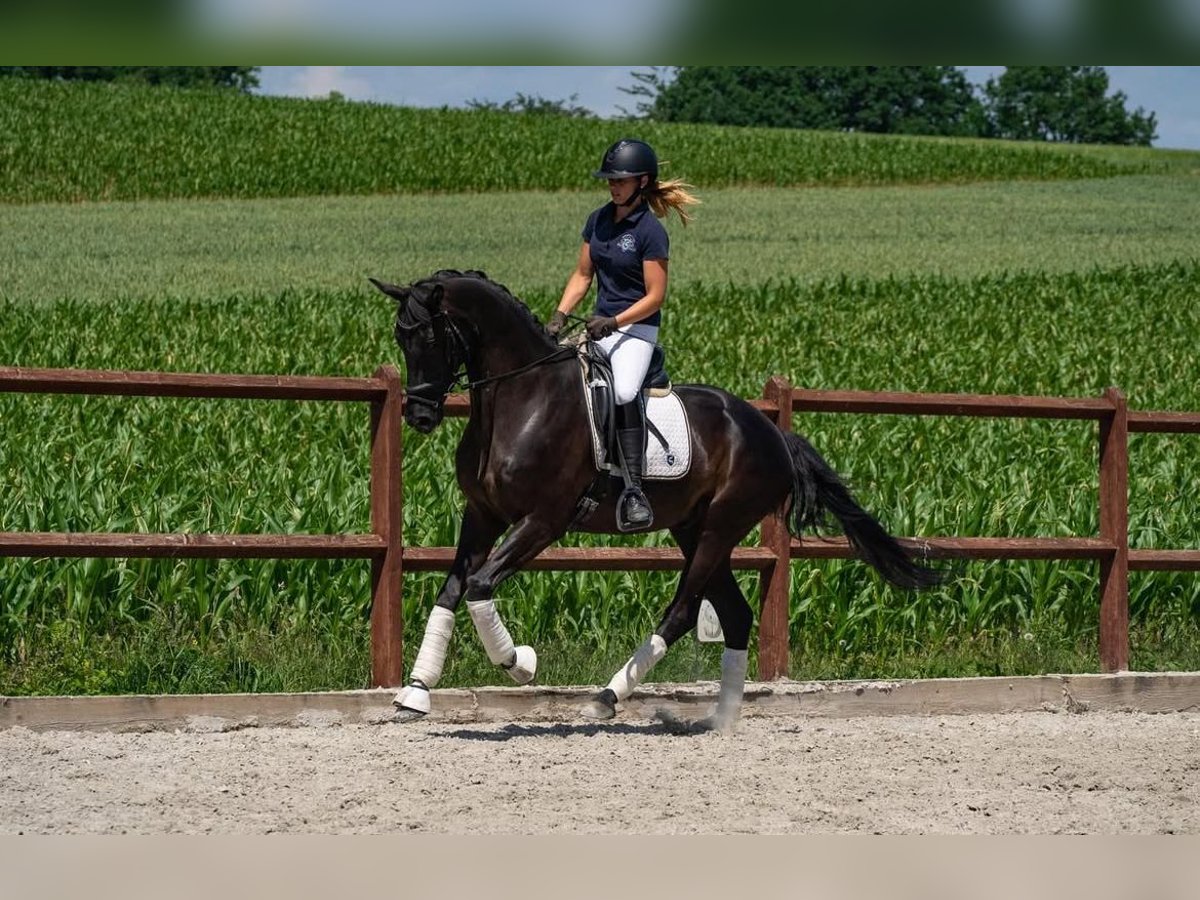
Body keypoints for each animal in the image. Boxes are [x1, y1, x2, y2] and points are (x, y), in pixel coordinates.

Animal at [370, 269, 941, 731]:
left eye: (429, 335)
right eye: (400, 336)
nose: (420, 415)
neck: (521, 398)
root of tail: (772, 432)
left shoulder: (544, 520)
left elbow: (480, 585)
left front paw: (520, 663)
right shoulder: (483, 514)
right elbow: (452, 590)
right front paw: (414, 694)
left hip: (719, 527)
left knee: (685, 610)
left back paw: (606, 697)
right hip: (693, 528)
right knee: (734, 615)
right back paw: (720, 720)